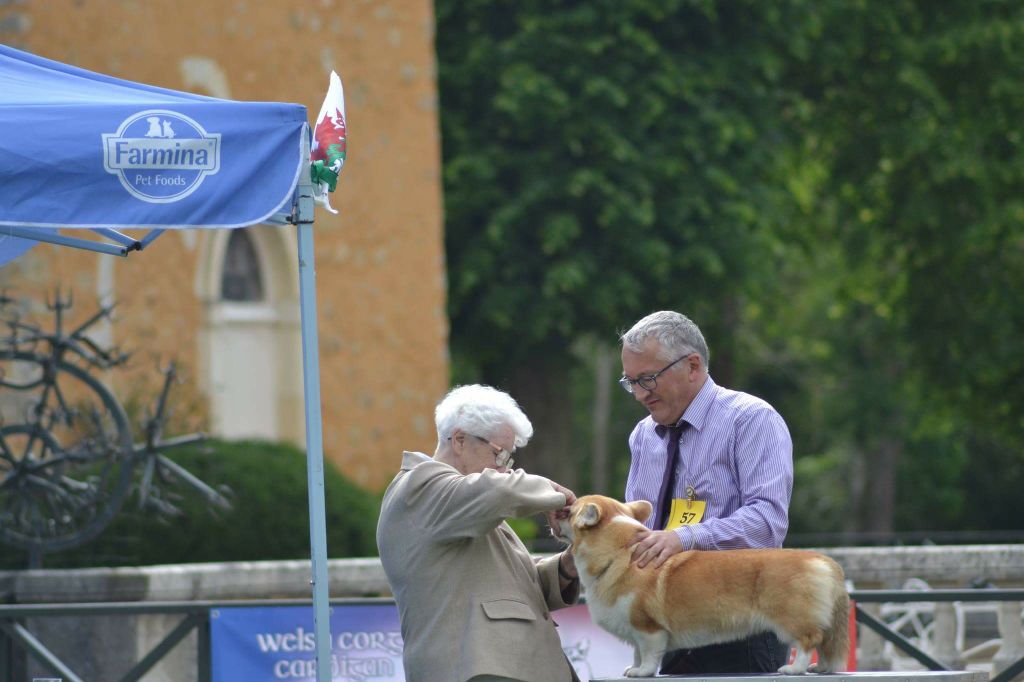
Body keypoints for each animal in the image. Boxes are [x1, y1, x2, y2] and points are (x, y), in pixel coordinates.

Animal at [556, 494, 849, 677]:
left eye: (569, 512)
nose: (556, 512)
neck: (620, 553)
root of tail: (824, 561)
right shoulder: (635, 631)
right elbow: (637, 652)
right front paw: (632, 669)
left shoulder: (648, 628)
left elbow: (648, 655)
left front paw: (642, 672)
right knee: (825, 645)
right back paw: (820, 669)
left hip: (792, 619)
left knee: (809, 642)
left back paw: (794, 669)